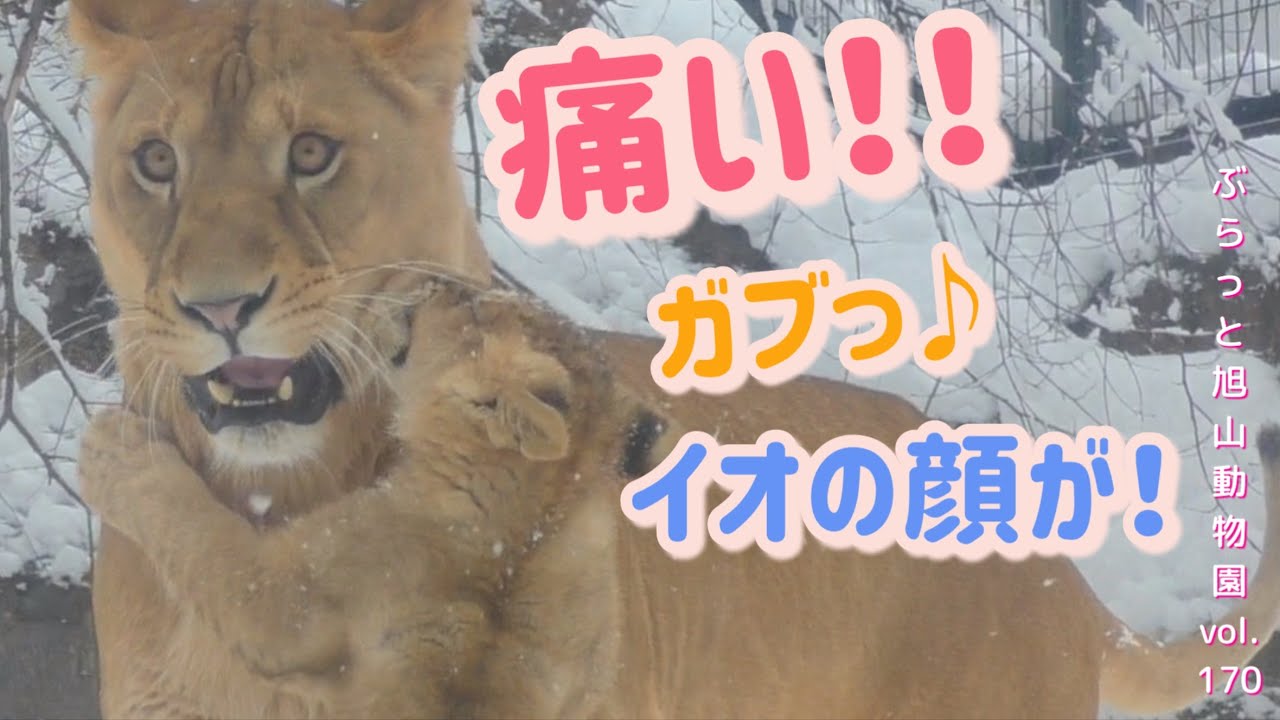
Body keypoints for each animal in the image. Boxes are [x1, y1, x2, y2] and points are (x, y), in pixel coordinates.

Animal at [68, 0, 1280, 718]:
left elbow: (226, 552)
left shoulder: (320, 584)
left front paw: (110, 452)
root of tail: (1065, 580)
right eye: (155, 162)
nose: (218, 306)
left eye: (313, 152)